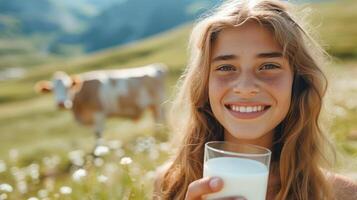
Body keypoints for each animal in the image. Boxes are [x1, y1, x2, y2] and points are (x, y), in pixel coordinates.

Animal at [34, 63, 167, 146]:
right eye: (53, 90)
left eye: (68, 88)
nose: (61, 103)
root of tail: (157, 67)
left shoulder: (99, 113)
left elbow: (98, 134)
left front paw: (99, 152)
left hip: (157, 103)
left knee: (159, 119)